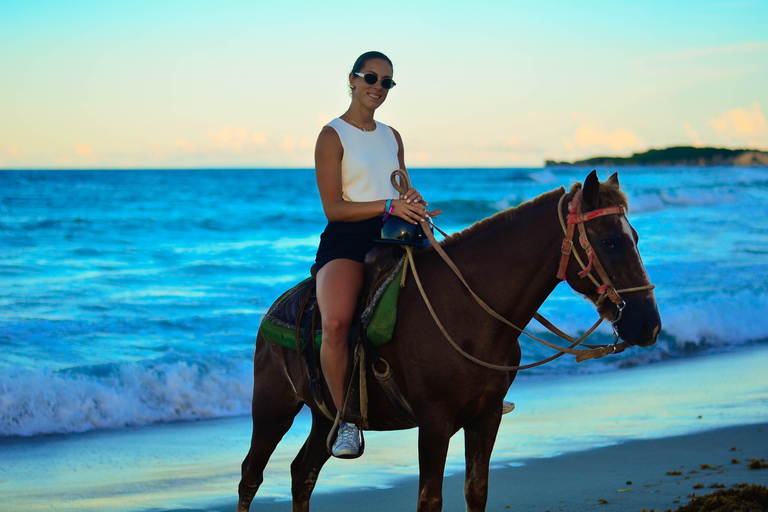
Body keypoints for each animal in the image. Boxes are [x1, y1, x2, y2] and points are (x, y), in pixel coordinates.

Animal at [237, 170, 664, 510]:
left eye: (635, 236)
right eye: (609, 242)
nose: (649, 325)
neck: (468, 310)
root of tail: (277, 306)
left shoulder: (486, 417)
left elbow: (476, 492)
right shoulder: (434, 422)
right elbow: (430, 500)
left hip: (325, 413)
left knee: (302, 473)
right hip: (274, 407)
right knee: (251, 476)